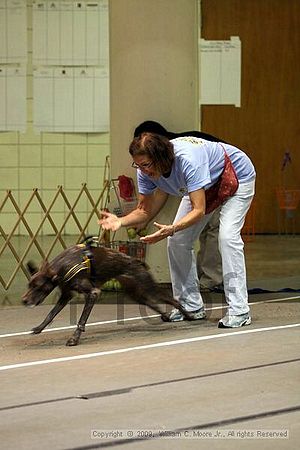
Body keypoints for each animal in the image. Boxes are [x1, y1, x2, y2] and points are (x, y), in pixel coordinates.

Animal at [22, 237, 192, 346]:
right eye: (29, 285)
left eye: (37, 286)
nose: (24, 301)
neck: (63, 266)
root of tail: (136, 260)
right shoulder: (66, 295)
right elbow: (51, 314)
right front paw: (39, 328)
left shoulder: (93, 293)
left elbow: (81, 321)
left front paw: (74, 339)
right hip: (135, 292)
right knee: (152, 303)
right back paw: (166, 316)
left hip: (149, 286)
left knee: (173, 300)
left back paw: (189, 316)